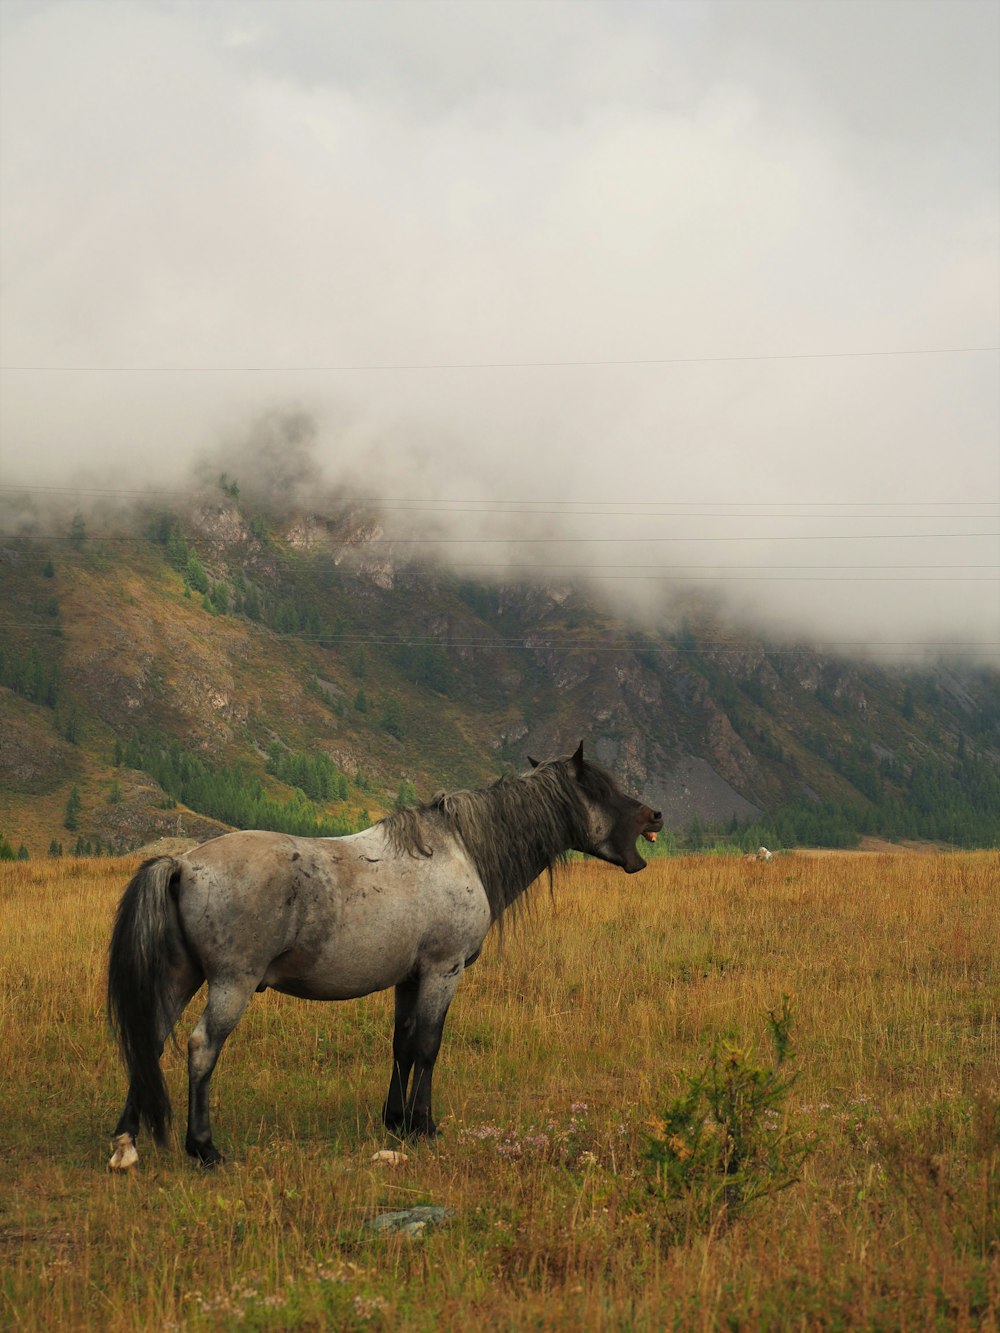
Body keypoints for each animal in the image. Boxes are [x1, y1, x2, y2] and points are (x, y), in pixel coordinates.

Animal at [106, 746, 666, 1173]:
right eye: (601, 789)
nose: (655, 815)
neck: (460, 851)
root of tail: (183, 863)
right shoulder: (442, 971)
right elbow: (427, 1046)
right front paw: (423, 1126)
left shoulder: (408, 978)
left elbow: (401, 1045)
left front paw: (395, 1121)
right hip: (231, 984)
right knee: (202, 1048)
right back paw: (203, 1148)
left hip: (180, 979)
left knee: (149, 1042)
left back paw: (126, 1144)